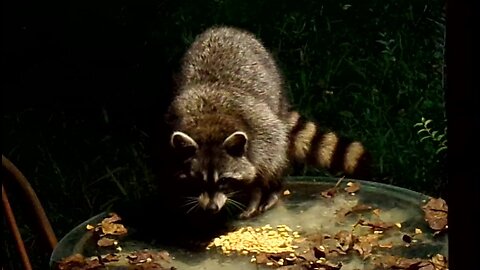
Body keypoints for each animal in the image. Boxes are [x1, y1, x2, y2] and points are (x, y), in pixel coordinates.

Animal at [164, 25, 368, 219]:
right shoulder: (171, 125)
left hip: (274, 87)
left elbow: (264, 167)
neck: (209, 126)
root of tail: (225, 29)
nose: (211, 208)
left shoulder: (260, 129)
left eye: (223, 181)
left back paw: (274, 190)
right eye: (197, 181)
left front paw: (256, 195)